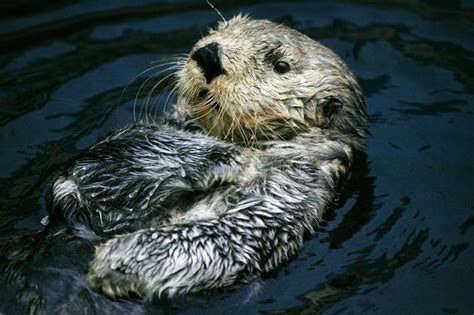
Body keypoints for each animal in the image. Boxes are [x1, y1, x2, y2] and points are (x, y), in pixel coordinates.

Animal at [49, 14, 370, 300]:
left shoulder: (292, 190)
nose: (209, 54)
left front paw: (120, 259)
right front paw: (222, 155)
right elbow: (100, 166)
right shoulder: (88, 190)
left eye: (281, 65)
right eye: (219, 29)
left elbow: (230, 238)